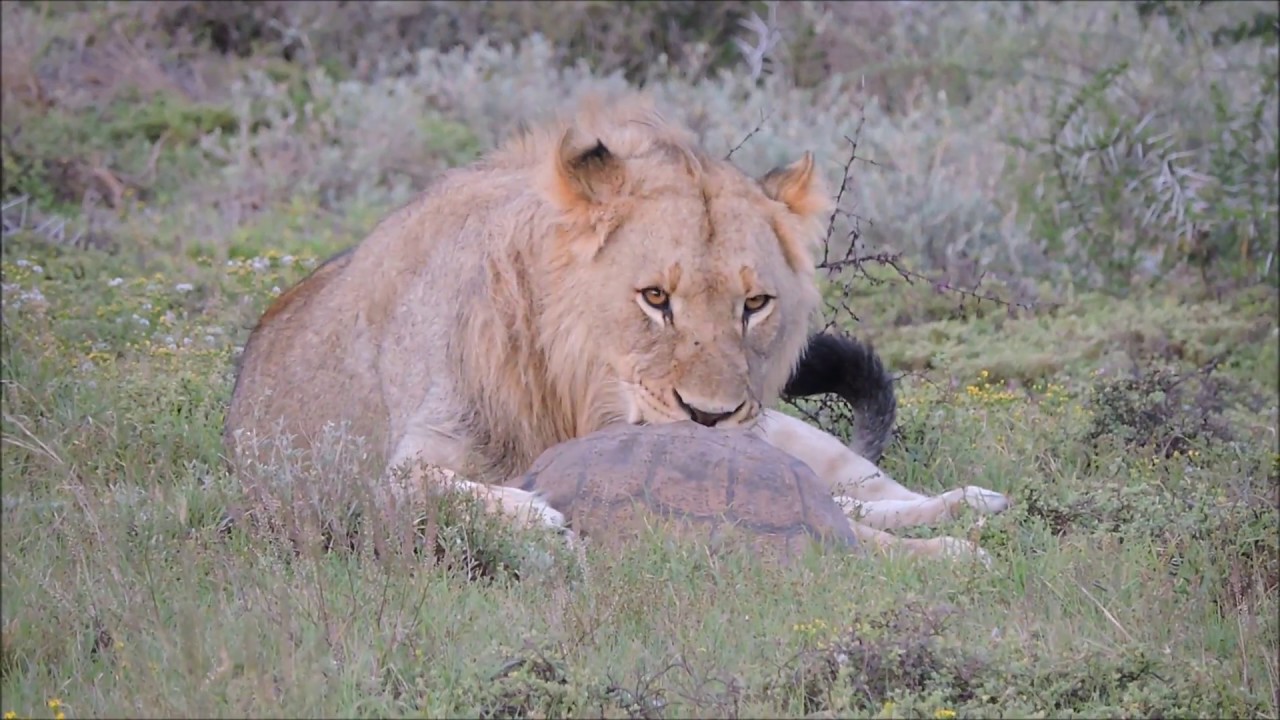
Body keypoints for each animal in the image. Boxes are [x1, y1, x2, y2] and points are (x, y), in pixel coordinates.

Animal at [223, 92, 1009, 562]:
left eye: (754, 304)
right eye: (655, 297)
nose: (710, 419)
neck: (574, 396)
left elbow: (844, 524)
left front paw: (947, 549)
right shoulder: (379, 474)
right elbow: (437, 488)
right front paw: (535, 513)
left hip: (791, 437)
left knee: (871, 492)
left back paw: (975, 507)